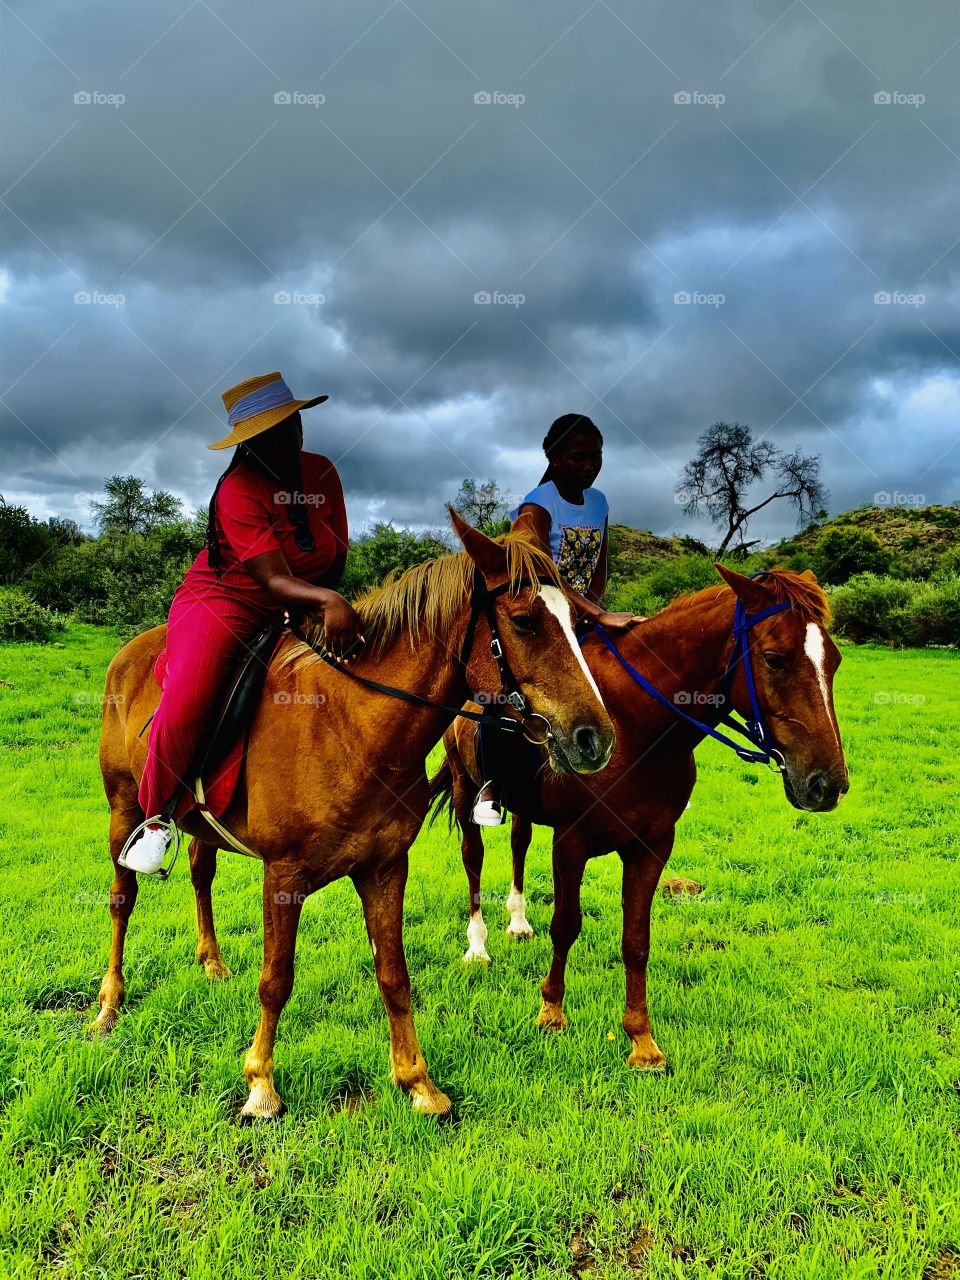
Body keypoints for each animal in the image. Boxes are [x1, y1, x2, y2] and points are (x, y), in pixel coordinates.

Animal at [93, 510, 616, 1117]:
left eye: (578, 622)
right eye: (525, 621)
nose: (595, 738)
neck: (351, 724)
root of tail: (127, 655)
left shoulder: (384, 868)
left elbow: (394, 975)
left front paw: (417, 1082)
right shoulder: (284, 876)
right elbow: (276, 980)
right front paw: (261, 1084)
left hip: (202, 822)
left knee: (201, 874)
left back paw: (212, 962)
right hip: (123, 808)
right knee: (122, 899)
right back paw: (109, 1003)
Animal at [429, 565, 849, 1070]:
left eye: (835, 661)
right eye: (774, 659)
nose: (827, 783)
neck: (636, 726)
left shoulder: (652, 846)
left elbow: (636, 940)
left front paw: (642, 1041)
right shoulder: (571, 842)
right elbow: (565, 926)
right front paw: (551, 1012)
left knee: (518, 845)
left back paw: (518, 921)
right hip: (463, 787)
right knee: (473, 859)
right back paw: (478, 946)